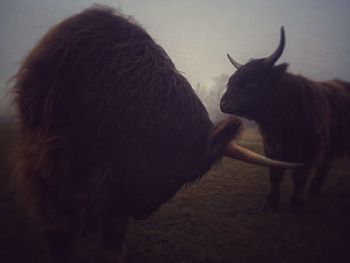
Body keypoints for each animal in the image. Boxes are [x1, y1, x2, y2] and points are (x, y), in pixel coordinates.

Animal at [221, 26, 350, 212]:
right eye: (231, 81)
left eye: (251, 82)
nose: (223, 103)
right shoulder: (272, 147)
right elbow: (275, 174)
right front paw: (271, 203)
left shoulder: (311, 149)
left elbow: (300, 176)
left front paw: (297, 203)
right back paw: (314, 190)